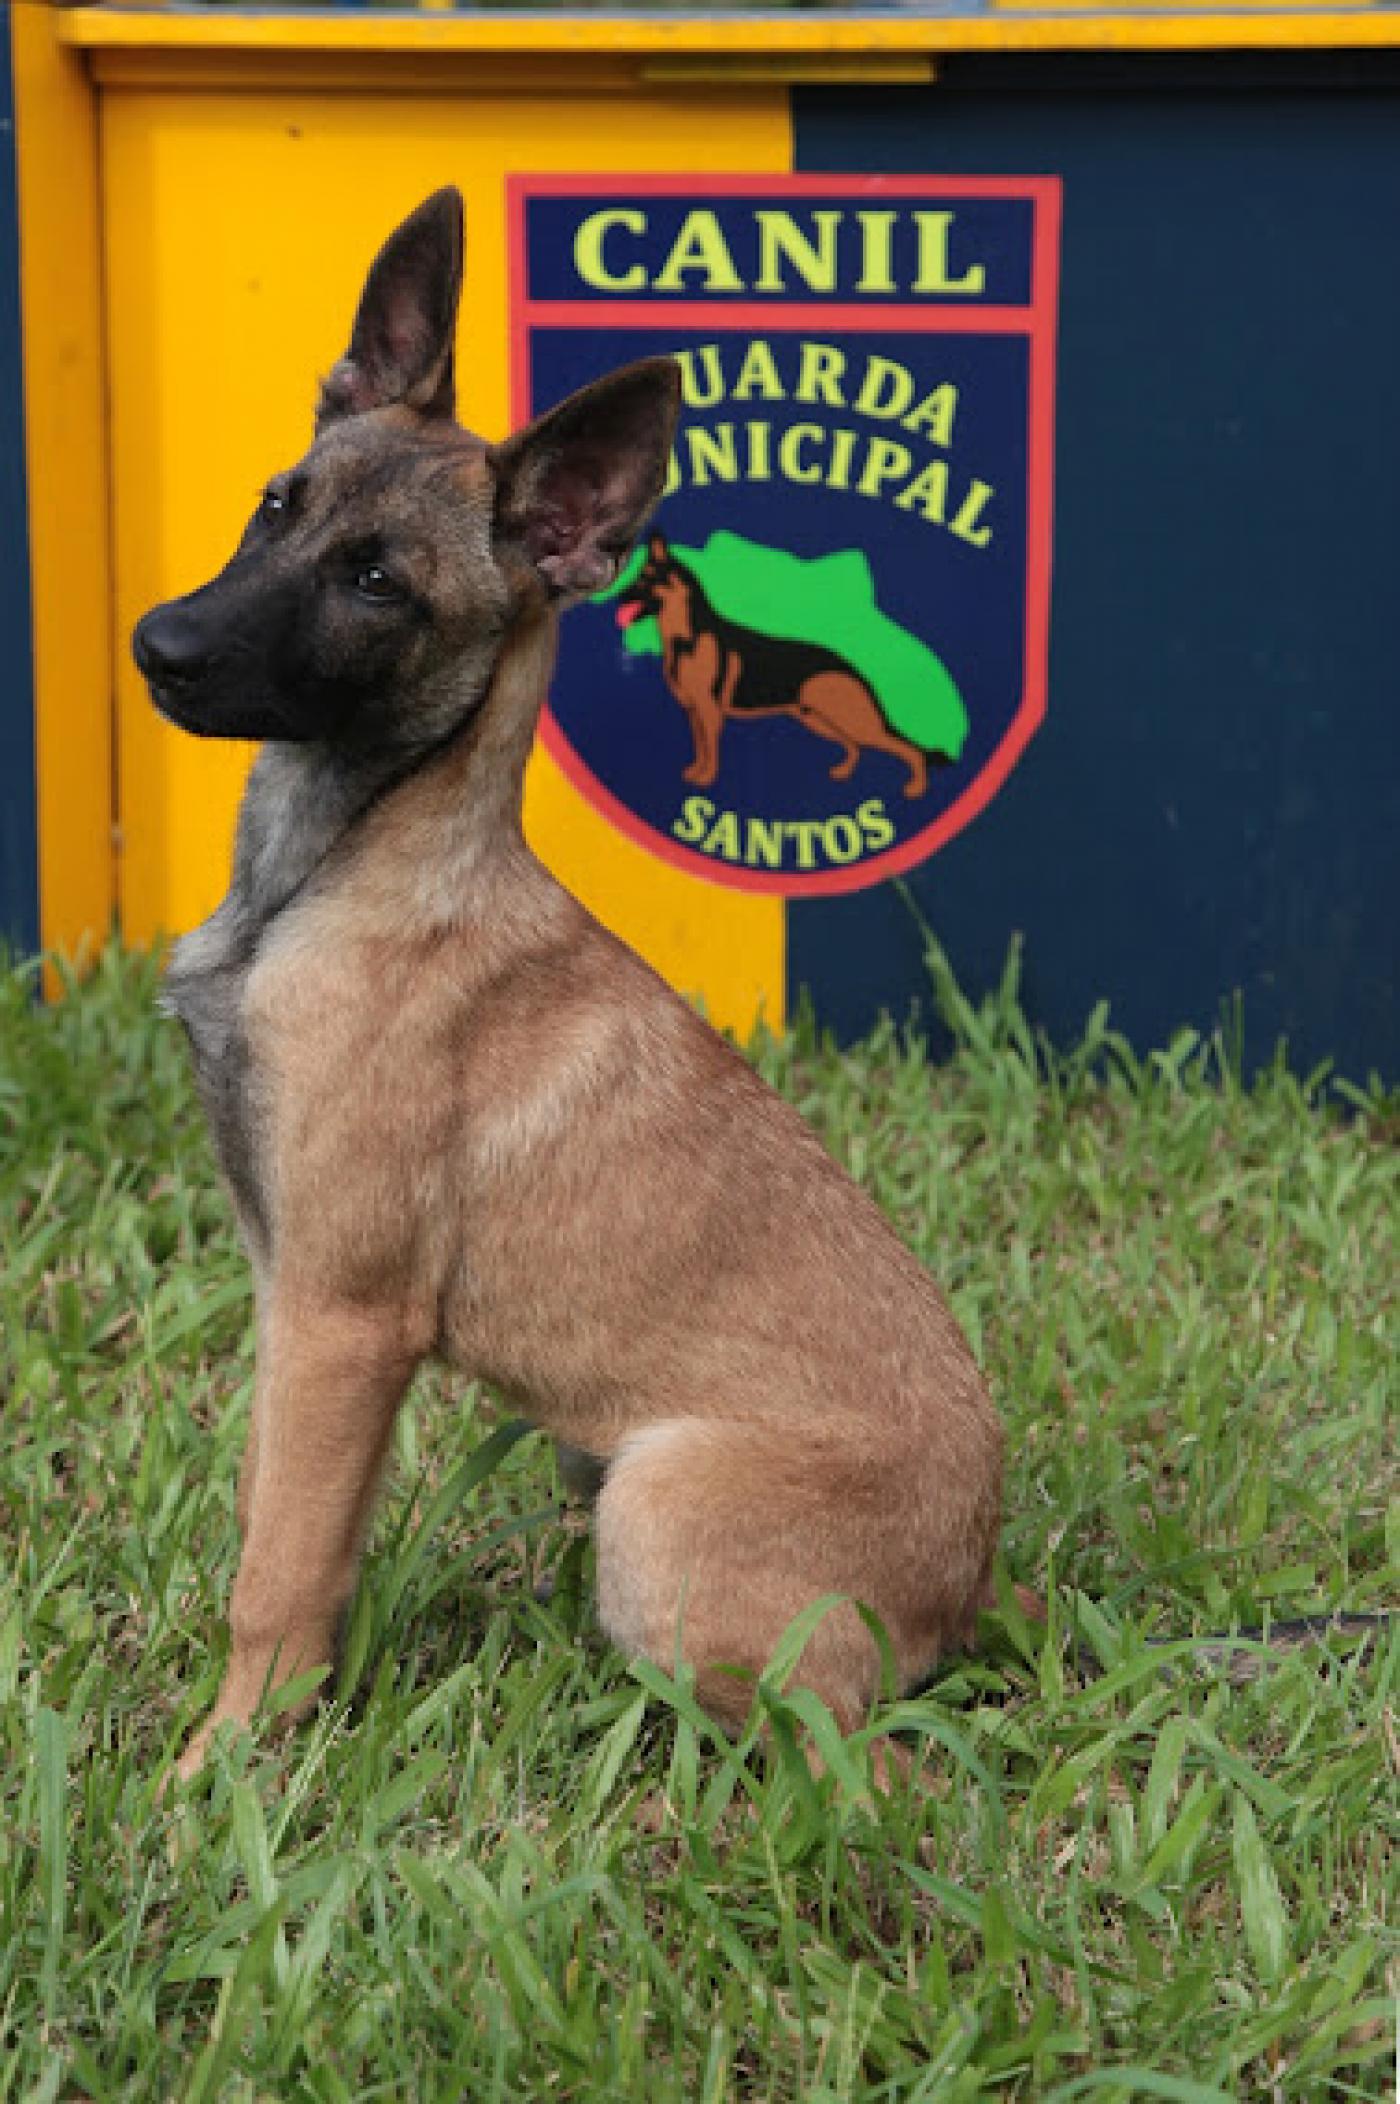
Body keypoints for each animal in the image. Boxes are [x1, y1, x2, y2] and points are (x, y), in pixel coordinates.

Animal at [131, 193, 997, 1775]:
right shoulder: (290, 1290)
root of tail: (970, 1580)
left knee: (856, 1757)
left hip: (656, 1501)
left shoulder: (344, 1314)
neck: (351, 863)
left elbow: (278, 1569)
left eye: (377, 583)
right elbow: (284, 1525)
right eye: (279, 505)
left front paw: (227, 1768)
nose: (158, 646)